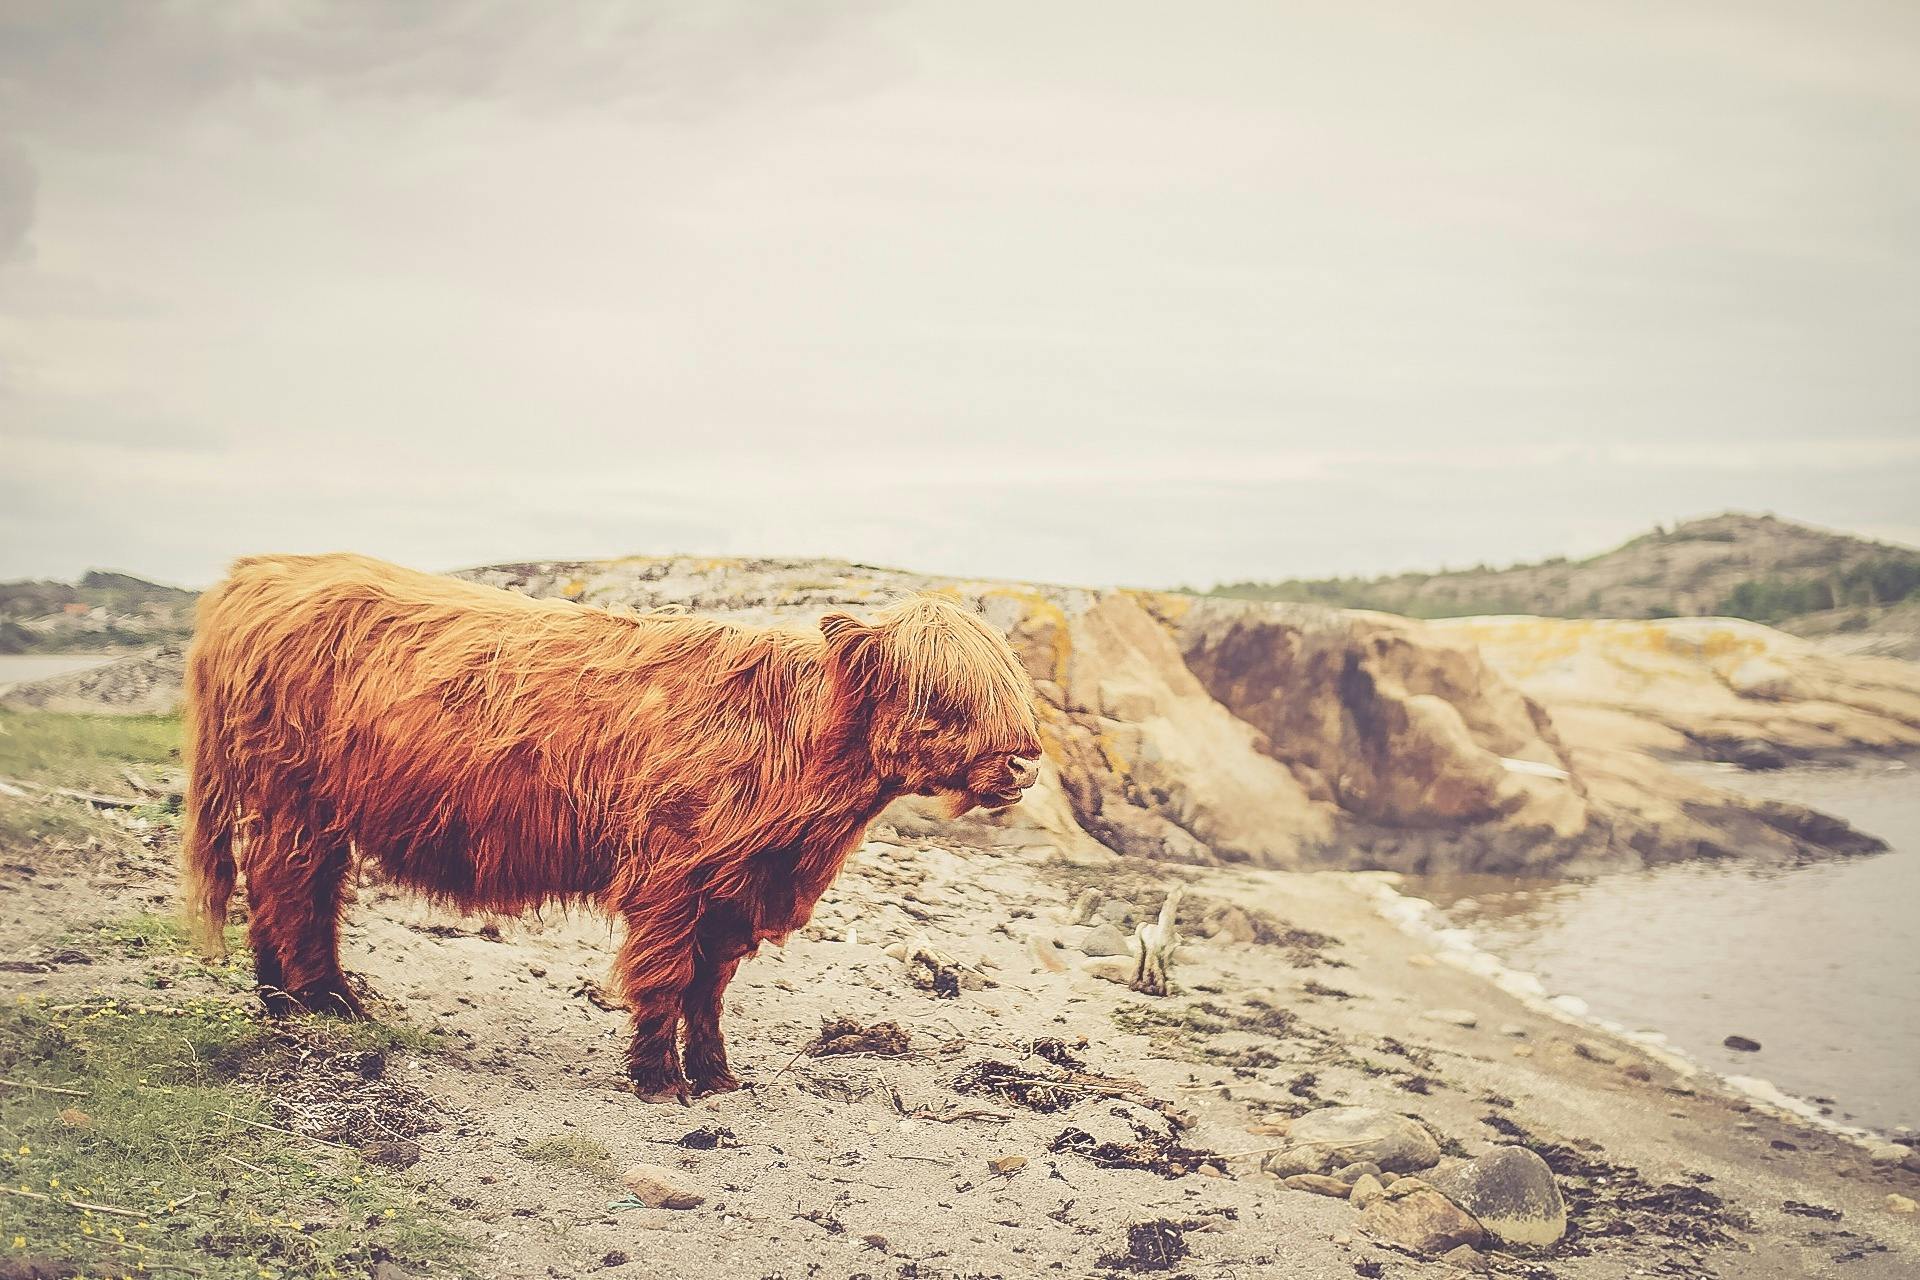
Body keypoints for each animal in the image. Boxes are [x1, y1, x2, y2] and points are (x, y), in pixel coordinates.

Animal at [187, 552, 1044, 1105]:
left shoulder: (736, 889)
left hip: (313, 806)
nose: (1026, 760)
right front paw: (657, 1080)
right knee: (290, 886)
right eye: (942, 696)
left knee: (291, 889)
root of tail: (261, 571)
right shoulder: (671, 873)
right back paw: (325, 1001)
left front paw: (717, 1076)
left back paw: (284, 998)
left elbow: (709, 989)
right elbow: (664, 976)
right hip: (293, 794)